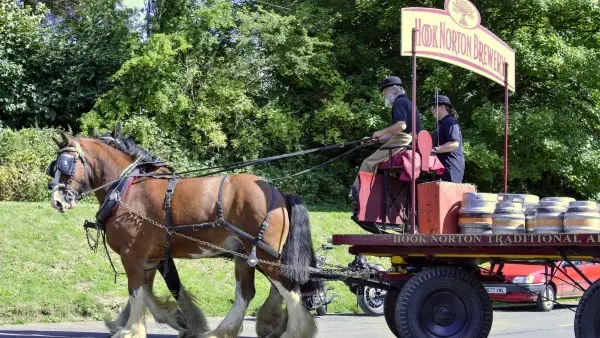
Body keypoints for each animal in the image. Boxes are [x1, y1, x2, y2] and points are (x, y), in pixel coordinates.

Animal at [48, 127, 318, 338]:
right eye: (54, 168)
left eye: (66, 164)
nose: (58, 201)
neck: (126, 188)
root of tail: (278, 193)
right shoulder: (151, 258)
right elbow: (149, 292)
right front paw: (175, 320)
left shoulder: (132, 254)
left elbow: (136, 292)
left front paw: (132, 330)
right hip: (247, 255)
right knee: (247, 293)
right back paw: (226, 331)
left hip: (265, 254)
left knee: (289, 290)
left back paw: (292, 331)